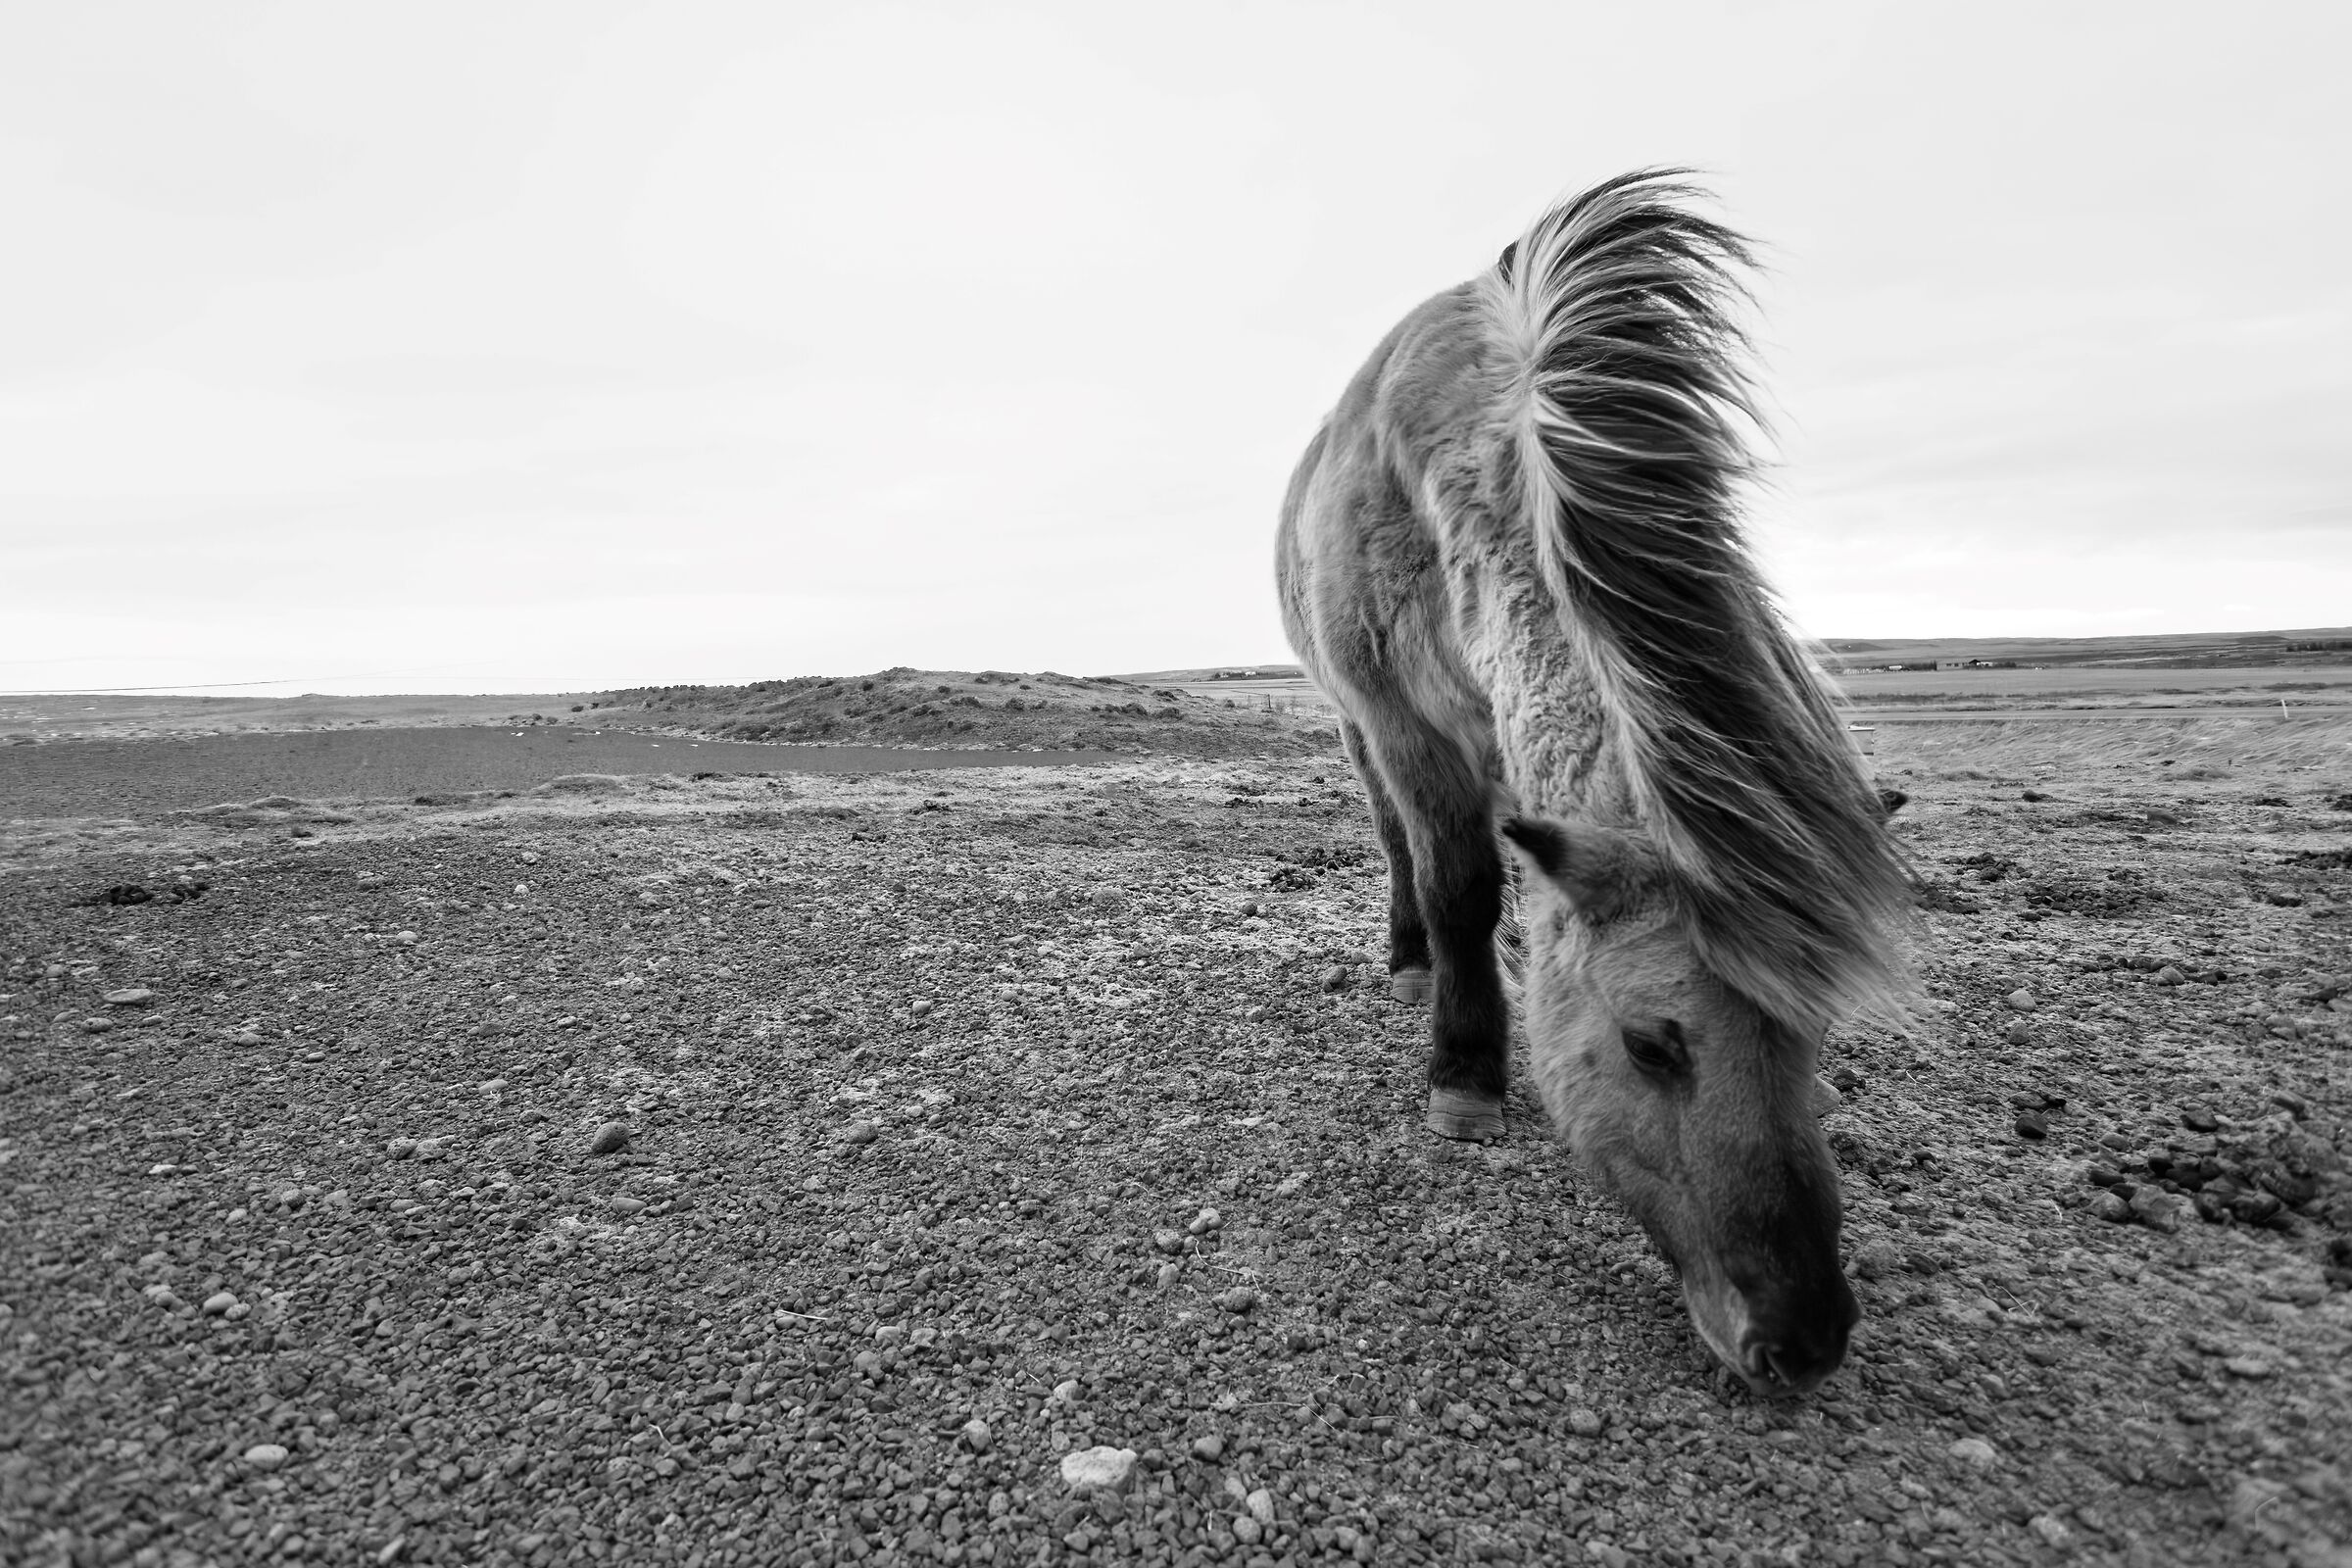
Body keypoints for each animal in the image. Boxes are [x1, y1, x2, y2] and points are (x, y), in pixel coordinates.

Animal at [1274, 170, 1915, 1397]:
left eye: (1814, 1033)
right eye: (1652, 1043)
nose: (1802, 1339)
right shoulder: (1408, 728)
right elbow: (1462, 887)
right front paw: (1465, 1075)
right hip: (1355, 723)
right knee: (1398, 844)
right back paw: (1409, 955)